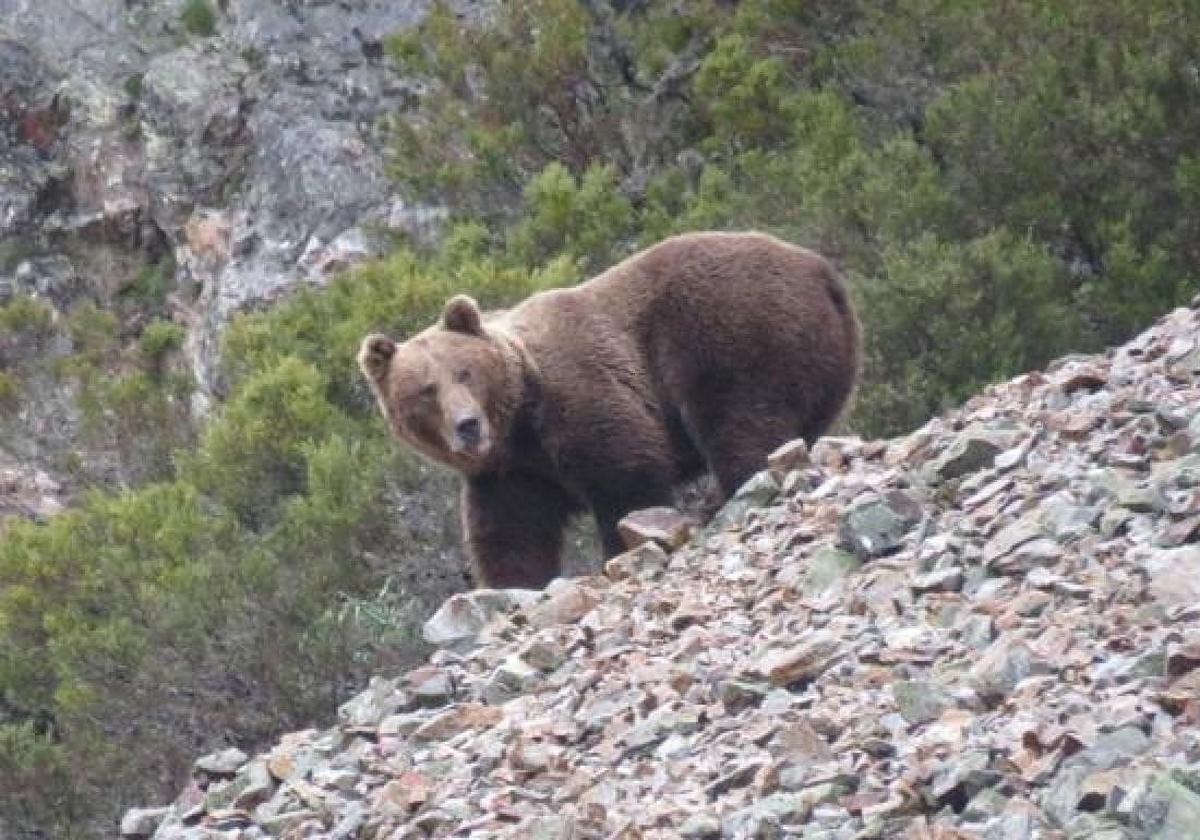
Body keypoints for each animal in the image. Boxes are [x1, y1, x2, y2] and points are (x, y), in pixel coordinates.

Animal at [360, 226, 859, 588]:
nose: (468, 425)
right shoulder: (509, 473)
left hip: (733, 331)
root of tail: (821, 270)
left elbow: (626, 477)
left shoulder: (580, 396)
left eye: (464, 372)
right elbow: (511, 536)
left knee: (741, 423)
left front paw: (625, 548)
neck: (520, 422)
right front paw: (514, 585)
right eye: (426, 390)